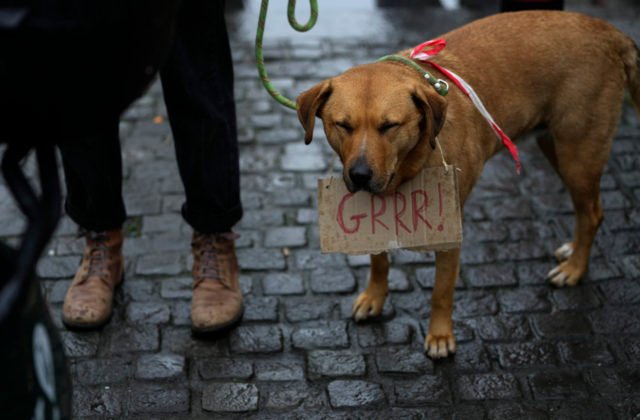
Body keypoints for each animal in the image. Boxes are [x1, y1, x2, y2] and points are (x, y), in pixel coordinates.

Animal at [296, 10, 640, 358]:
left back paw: (575, 268)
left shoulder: (450, 230)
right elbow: (379, 260)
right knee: (590, 208)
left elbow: (441, 291)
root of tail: (609, 31)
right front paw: (374, 297)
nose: (360, 175)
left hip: (578, 154)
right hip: (554, 145)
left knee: (592, 213)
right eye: (342, 125)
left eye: (389, 126)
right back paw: (572, 251)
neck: (411, 161)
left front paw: (439, 336)